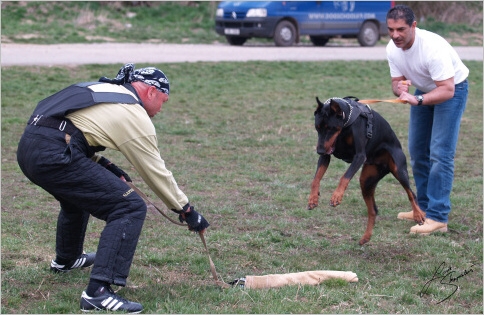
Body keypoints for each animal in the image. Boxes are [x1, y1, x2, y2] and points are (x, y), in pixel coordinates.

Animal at [308, 97, 426, 246]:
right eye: (317, 128)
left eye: (330, 128)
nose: (319, 150)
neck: (346, 123)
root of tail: (384, 165)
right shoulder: (326, 155)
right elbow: (316, 178)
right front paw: (313, 198)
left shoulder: (359, 156)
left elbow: (344, 177)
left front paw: (336, 196)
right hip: (367, 180)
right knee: (373, 210)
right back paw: (366, 237)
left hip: (399, 169)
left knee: (411, 194)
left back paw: (418, 215)